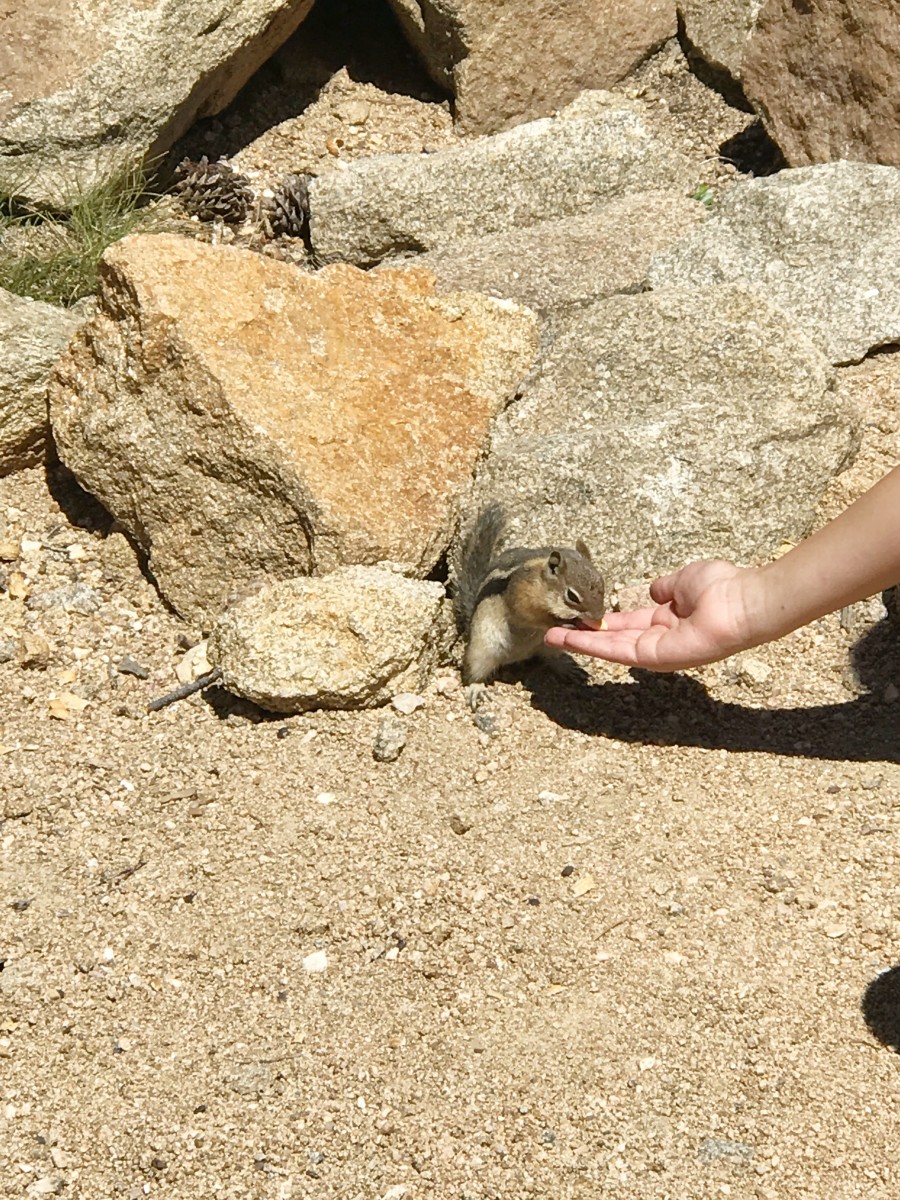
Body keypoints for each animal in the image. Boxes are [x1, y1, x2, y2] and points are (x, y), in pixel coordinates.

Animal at [453, 504, 609, 705]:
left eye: (602, 583)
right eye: (572, 596)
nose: (598, 616)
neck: (543, 585)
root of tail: (519, 656)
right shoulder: (522, 598)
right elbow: (532, 617)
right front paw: (562, 623)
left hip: (549, 645)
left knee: (550, 658)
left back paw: (567, 667)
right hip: (482, 648)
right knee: (474, 670)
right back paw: (476, 688)